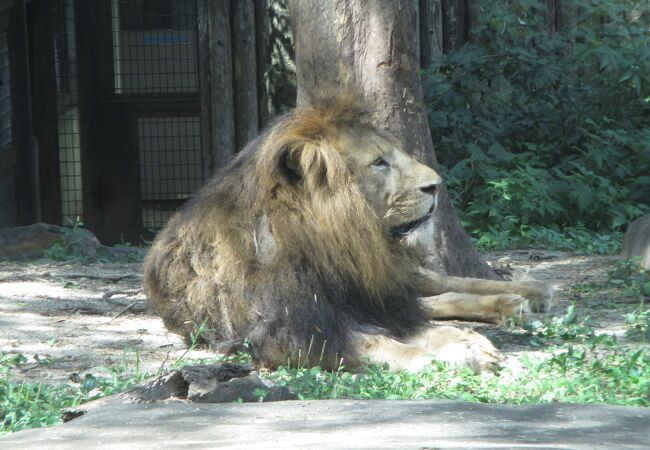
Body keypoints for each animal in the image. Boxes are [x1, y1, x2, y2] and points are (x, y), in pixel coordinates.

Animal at [143, 91, 552, 372]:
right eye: (379, 162)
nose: (436, 185)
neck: (331, 249)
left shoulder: (374, 302)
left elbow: (419, 324)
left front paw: (466, 343)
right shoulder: (290, 334)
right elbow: (384, 344)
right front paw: (456, 352)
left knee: (440, 284)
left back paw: (528, 292)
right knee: (436, 296)